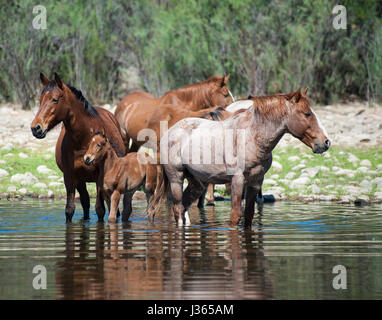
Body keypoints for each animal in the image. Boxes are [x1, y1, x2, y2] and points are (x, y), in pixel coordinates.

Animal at [31, 72, 126, 222]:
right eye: (40, 100)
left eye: (55, 99)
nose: (36, 128)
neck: (83, 139)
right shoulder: (69, 177)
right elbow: (69, 210)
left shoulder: (99, 178)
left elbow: (100, 210)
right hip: (81, 181)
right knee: (86, 203)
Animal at [148, 87, 330, 228]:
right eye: (307, 114)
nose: (325, 142)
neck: (251, 136)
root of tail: (171, 131)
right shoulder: (237, 180)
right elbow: (235, 216)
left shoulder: (256, 181)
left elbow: (249, 215)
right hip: (176, 178)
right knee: (178, 209)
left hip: (197, 183)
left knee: (184, 207)